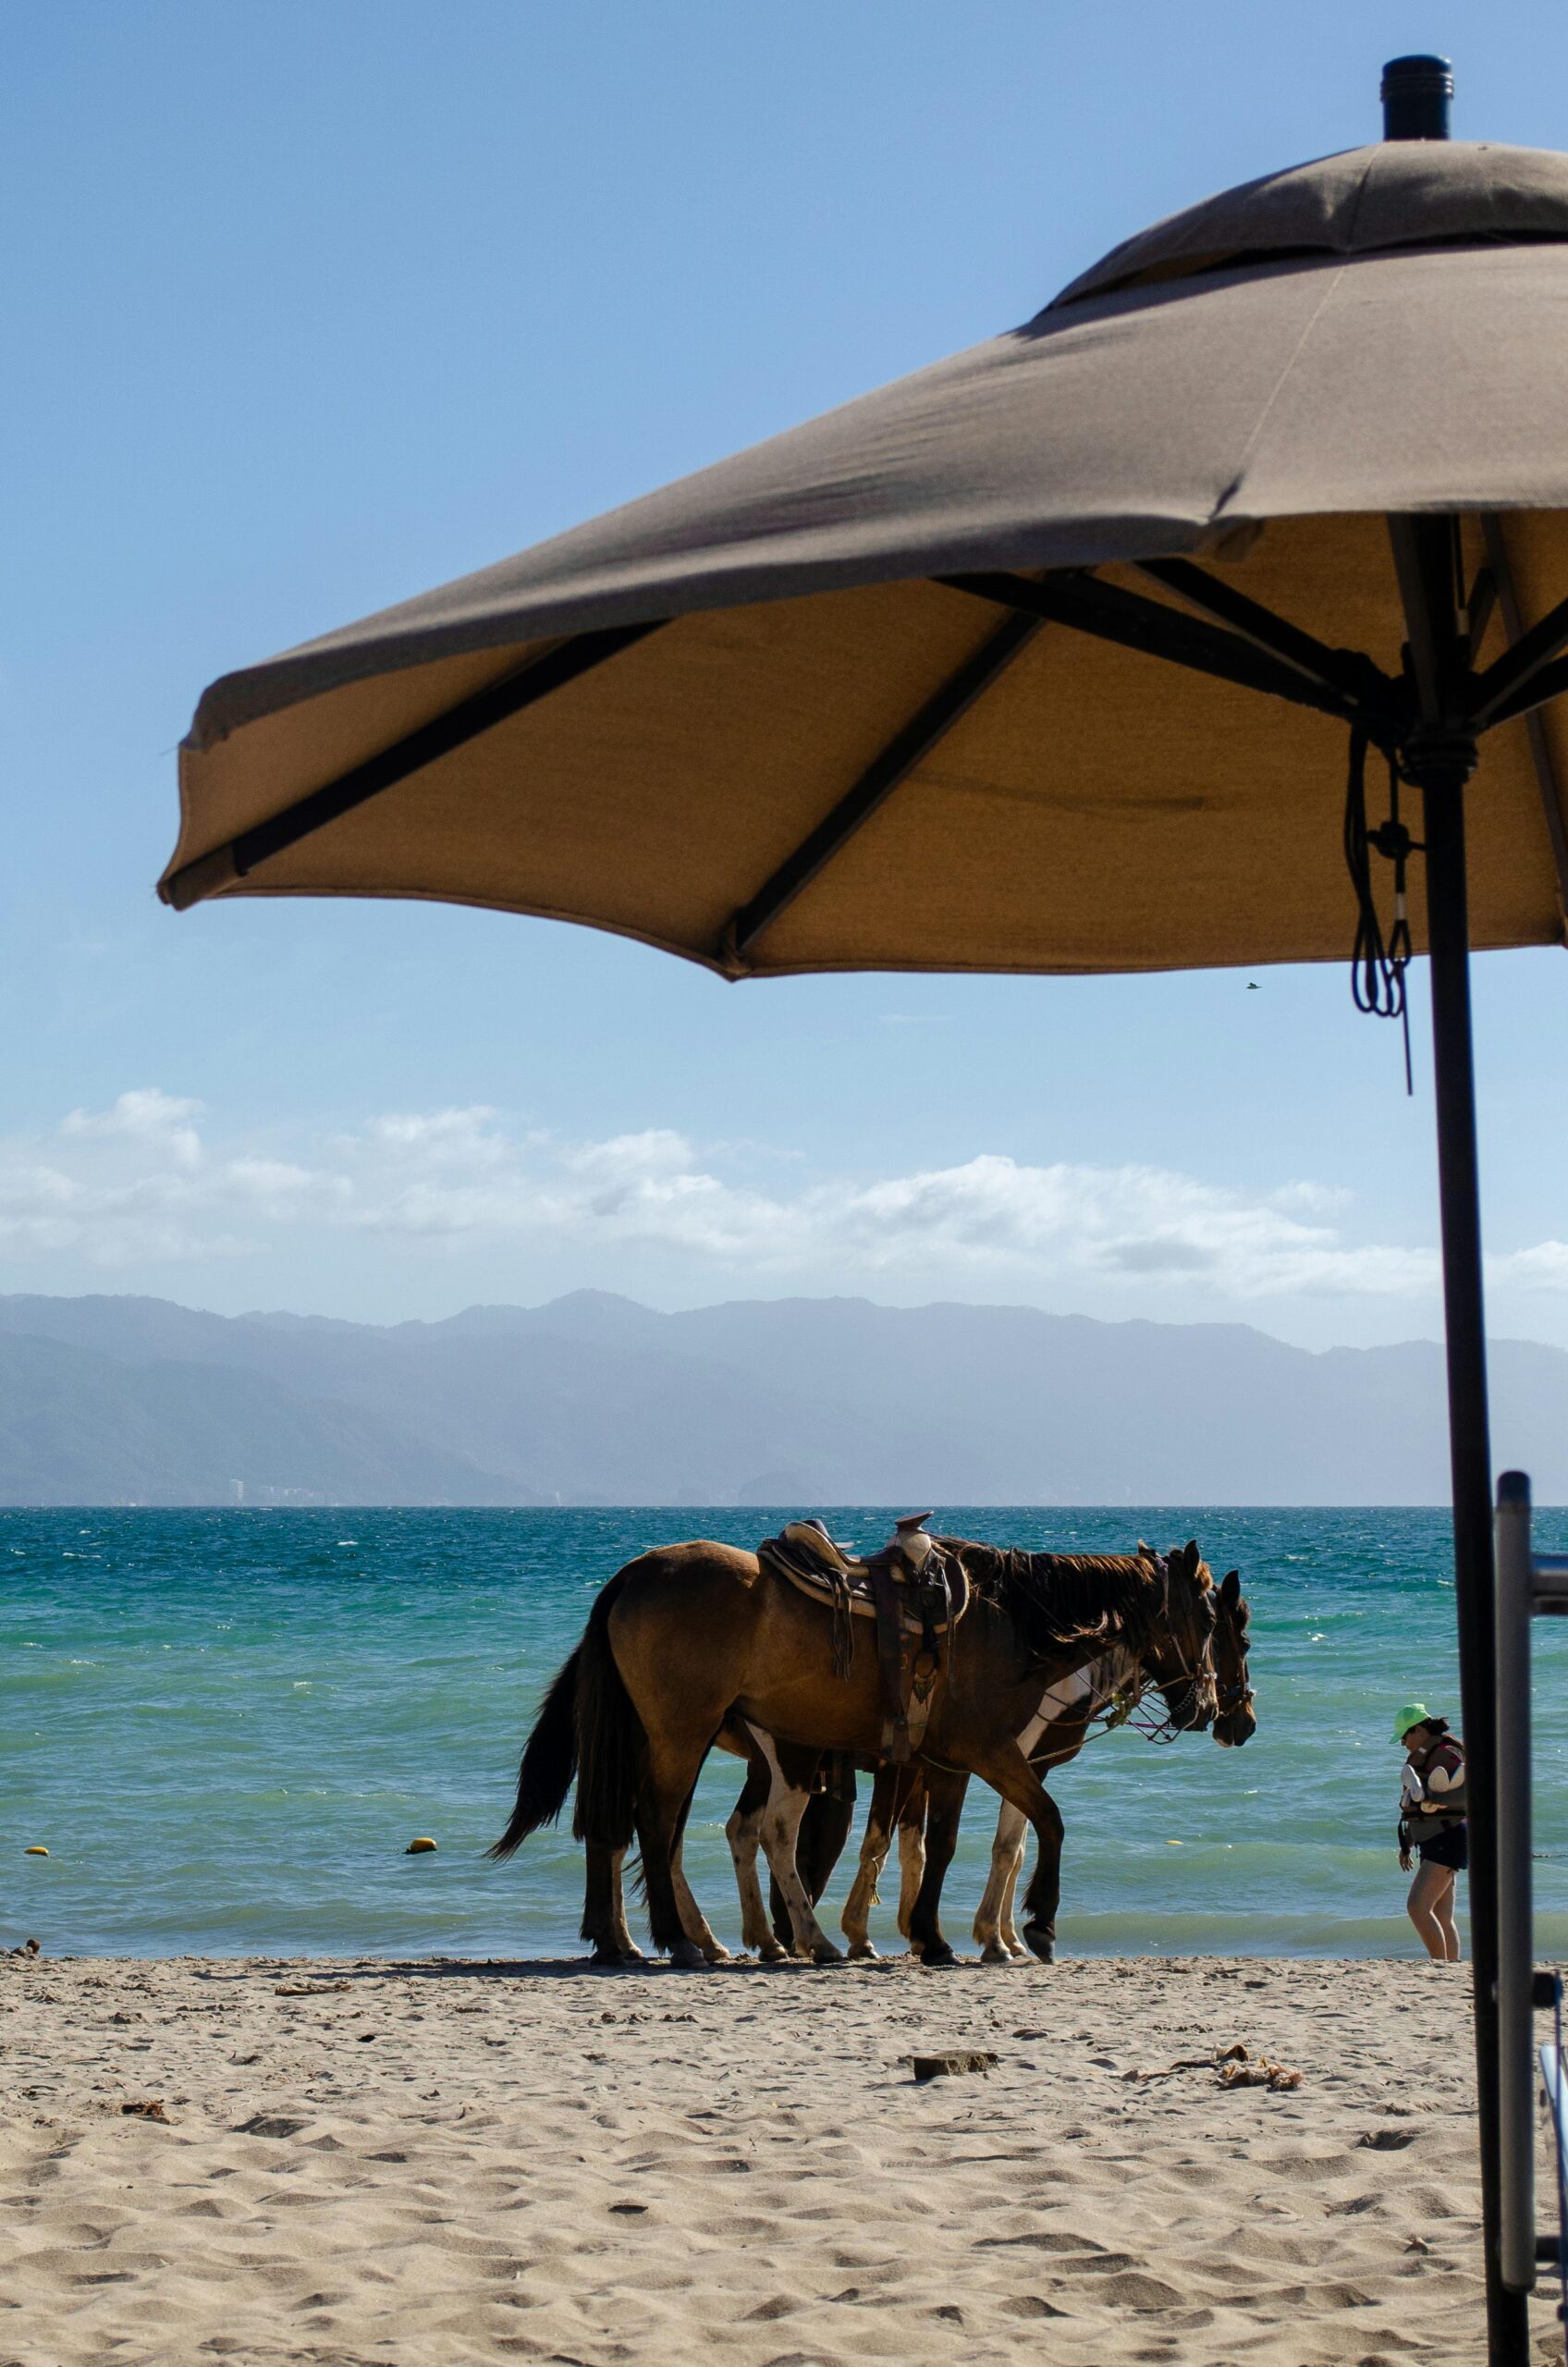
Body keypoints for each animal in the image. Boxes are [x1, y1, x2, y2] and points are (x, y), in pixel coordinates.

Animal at [495, 1534, 1218, 1968]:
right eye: (1211, 1618)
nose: (1207, 1707)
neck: (1010, 1622)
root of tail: (632, 1572)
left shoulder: (948, 1762)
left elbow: (942, 1844)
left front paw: (935, 1935)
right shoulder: (989, 1753)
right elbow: (1046, 1823)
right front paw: (1033, 1925)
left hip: (660, 1737)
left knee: (620, 1826)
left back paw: (626, 1941)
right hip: (682, 1734)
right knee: (657, 1822)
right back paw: (686, 1939)